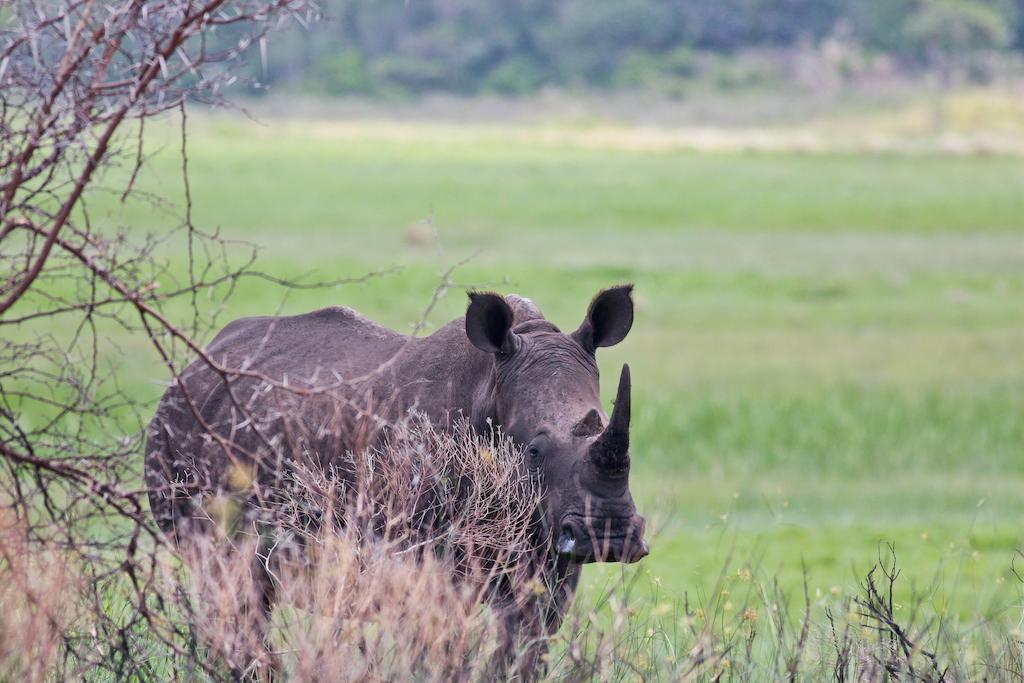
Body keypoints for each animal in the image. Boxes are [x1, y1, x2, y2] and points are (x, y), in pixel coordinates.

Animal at [144, 282, 647, 671]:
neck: (490, 386)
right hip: (184, 440)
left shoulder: (548, 554)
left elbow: (523, 651)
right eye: (534, 451)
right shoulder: (420, 556)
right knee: (228, 584)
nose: (610, 534)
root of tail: (196, 364)